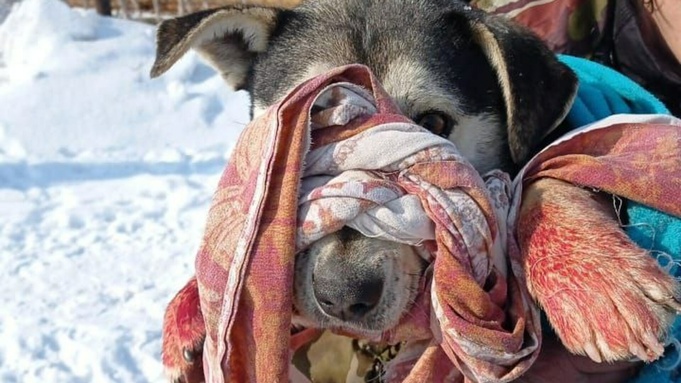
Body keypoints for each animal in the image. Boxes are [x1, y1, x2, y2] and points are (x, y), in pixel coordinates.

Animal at [151, 0, 676, 380]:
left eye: (434, 125)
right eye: (302, 133)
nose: (342, 295)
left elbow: (547, 172)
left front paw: (597, 279)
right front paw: (191, 308)